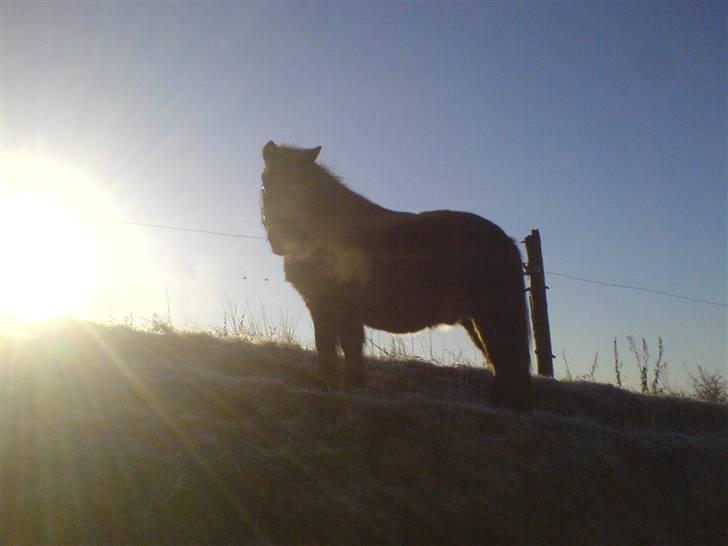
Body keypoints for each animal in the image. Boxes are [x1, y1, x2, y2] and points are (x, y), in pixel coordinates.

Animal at [260, 141, 531, 411]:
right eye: (265, 181)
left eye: (299, 187)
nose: (280, 239)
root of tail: (506, 240)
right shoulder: (320, 306)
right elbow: (325, 346)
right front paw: (327, 387)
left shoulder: (345, 309)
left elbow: (349, 347)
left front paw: (352, 388)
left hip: (492, 316)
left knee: (506, 361)